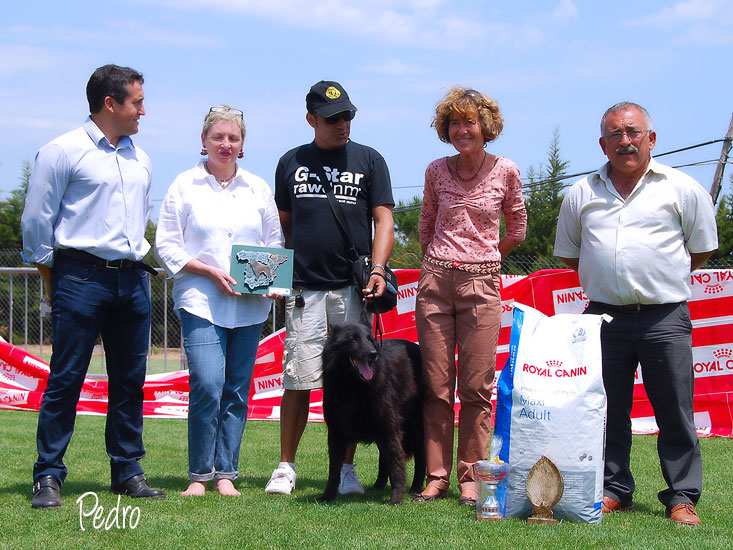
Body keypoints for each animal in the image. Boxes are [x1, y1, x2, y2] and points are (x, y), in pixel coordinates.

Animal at [317, 318, 425, 504]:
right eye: (353, 340)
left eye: (369, 339)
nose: (373, 354)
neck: (353, 386)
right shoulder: (336, 433)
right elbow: (334, 470)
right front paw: (328, 496)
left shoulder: (389, 429)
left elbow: (396, 463)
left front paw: (397, 497)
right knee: (384, 458)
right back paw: (378, 485)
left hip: (414, 427)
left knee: (421, 456)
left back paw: (416, 487)